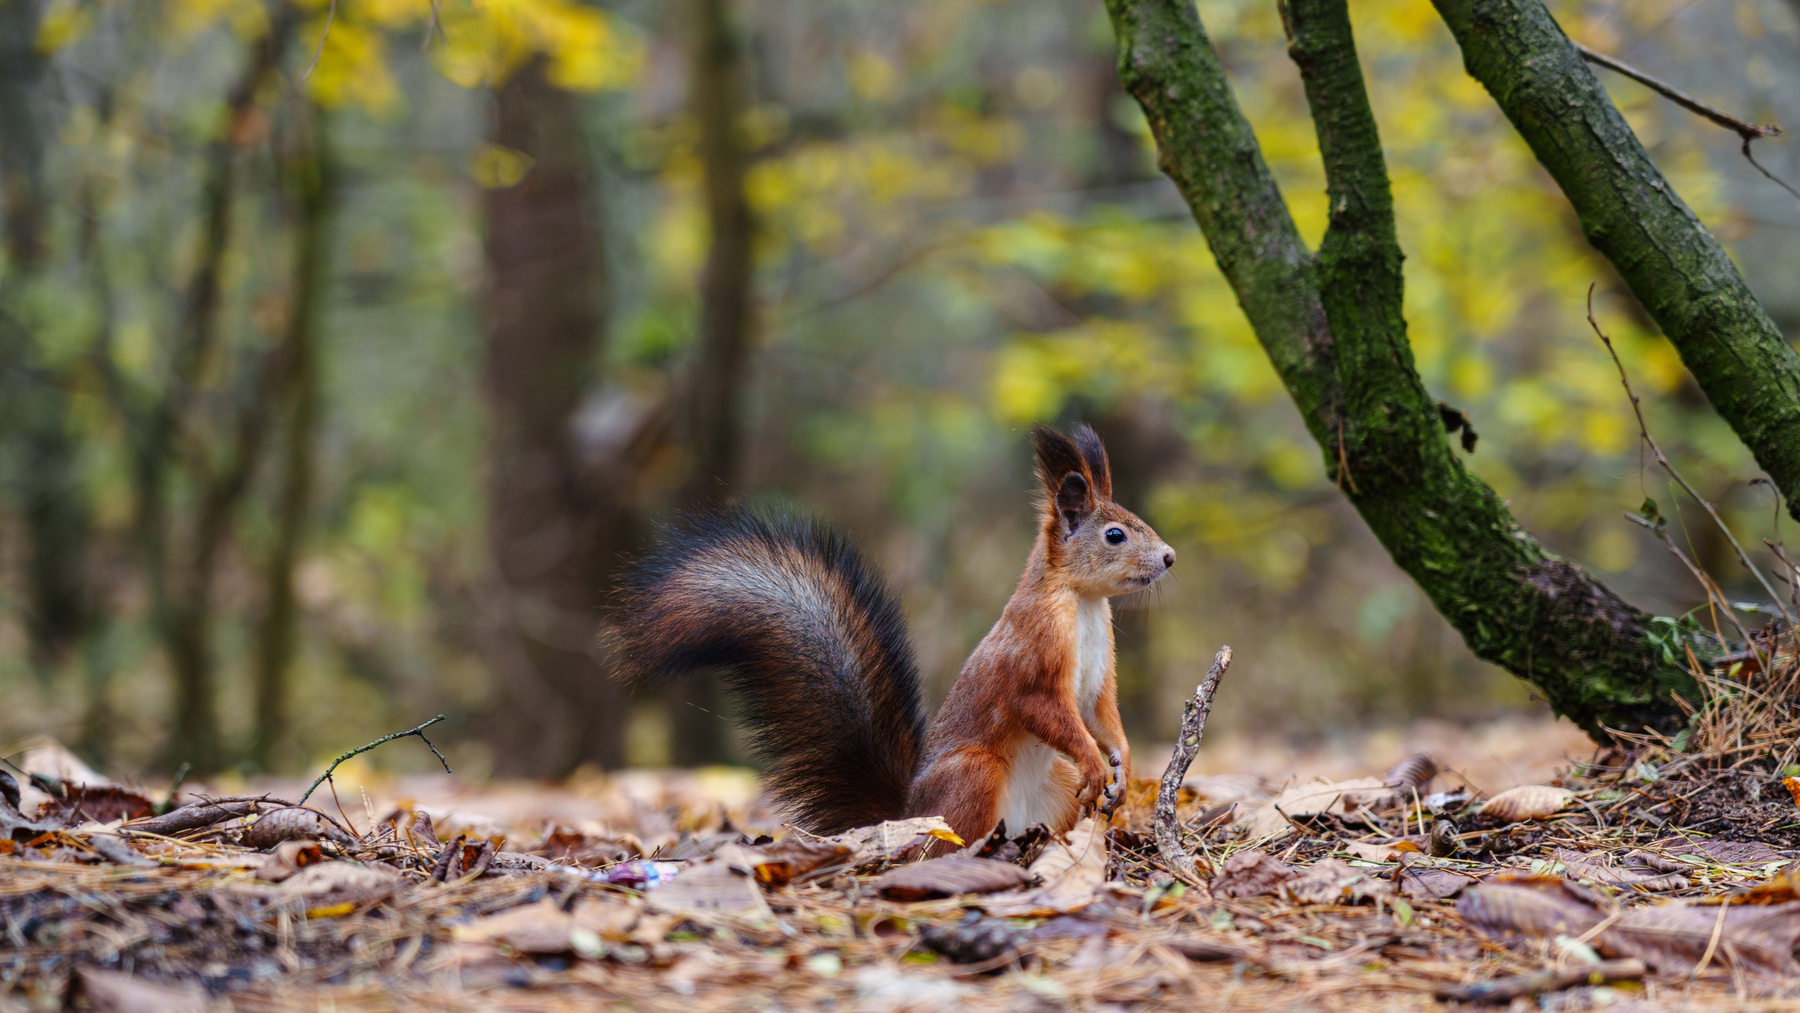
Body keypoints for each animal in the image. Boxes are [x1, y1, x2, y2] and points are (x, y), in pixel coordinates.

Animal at [612, 423, 1176, 845]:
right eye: (1115, 535)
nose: (1169, 557)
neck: (1083, 603)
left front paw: (1120, 768)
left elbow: (1103, 714)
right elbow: (1043, 707)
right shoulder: (1034, 649)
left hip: (1054, 789)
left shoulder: (1098, 673)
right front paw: (1095, 763)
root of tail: (906, 815)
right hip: (973, 774)